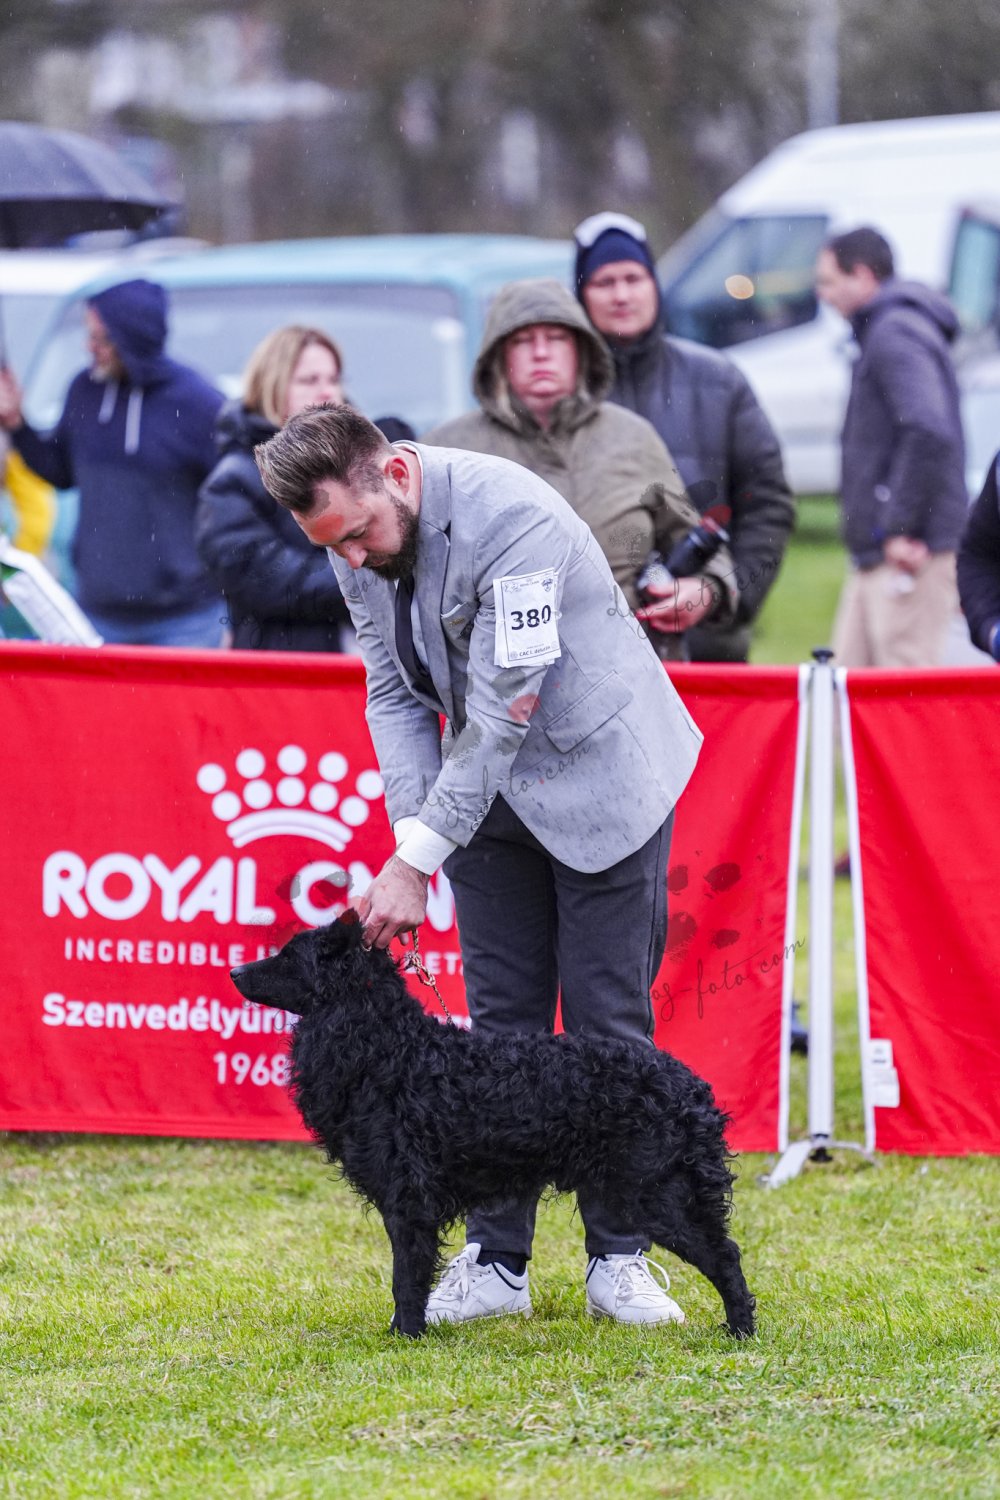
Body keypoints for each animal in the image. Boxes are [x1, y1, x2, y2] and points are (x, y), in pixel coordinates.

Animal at [231, 914, 756, 1339]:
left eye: (288, 955)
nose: (234, 972)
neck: (392, 1051)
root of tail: (692, 1088)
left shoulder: (409, 1202)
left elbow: (406, 1277)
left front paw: (406, 1336)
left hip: (659, 1192)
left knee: (725, 1256)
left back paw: (740, 1330)